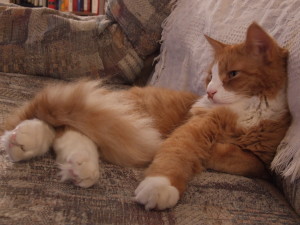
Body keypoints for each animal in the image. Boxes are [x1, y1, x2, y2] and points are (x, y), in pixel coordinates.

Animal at [0, 22, 290, 210]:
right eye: (210, 76)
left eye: (232, 75)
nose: (209, 92)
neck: (250, 111)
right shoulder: (195, 127)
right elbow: (177, 153)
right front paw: (160, 185)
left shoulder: (260, 159)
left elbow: (239, 159)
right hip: (126, 118)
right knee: (65, 126)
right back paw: (26, 141)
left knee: (69, 131)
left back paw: (65, 160)